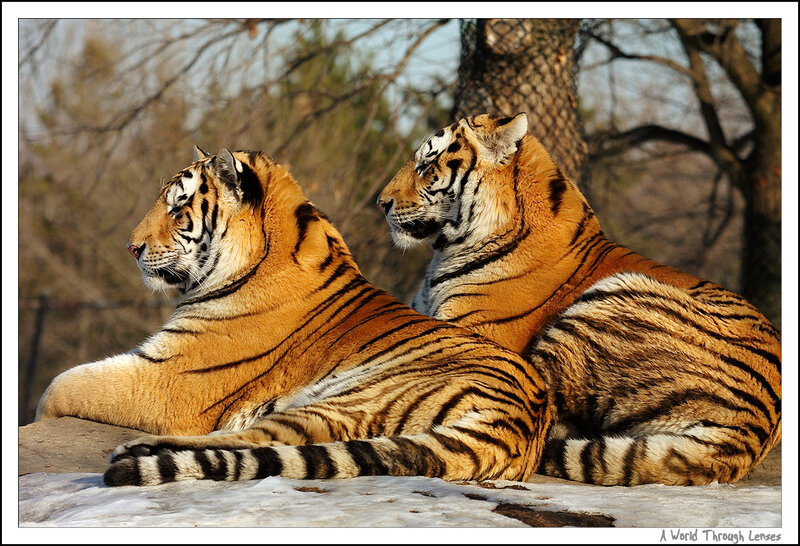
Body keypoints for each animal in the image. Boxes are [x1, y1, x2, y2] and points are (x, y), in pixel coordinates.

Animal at [36, 145, 551, 487]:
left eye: (179, 206)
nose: (132, 247)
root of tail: (518, 424)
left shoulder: (170, 378)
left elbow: (61, 385)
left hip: (340, 400)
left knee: (253, 442)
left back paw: (134, 452)